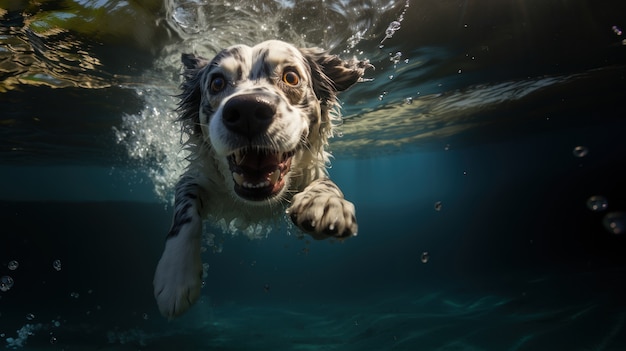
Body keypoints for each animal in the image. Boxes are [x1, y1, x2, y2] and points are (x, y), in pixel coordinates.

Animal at [152, 40, 366, 318]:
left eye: (291, 77)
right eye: (217, 82)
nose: (248, 110)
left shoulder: (309, 173)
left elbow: (325, 183)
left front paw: (326, 204)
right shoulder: (197, 177)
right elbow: (185, 212)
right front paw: (176, 276)